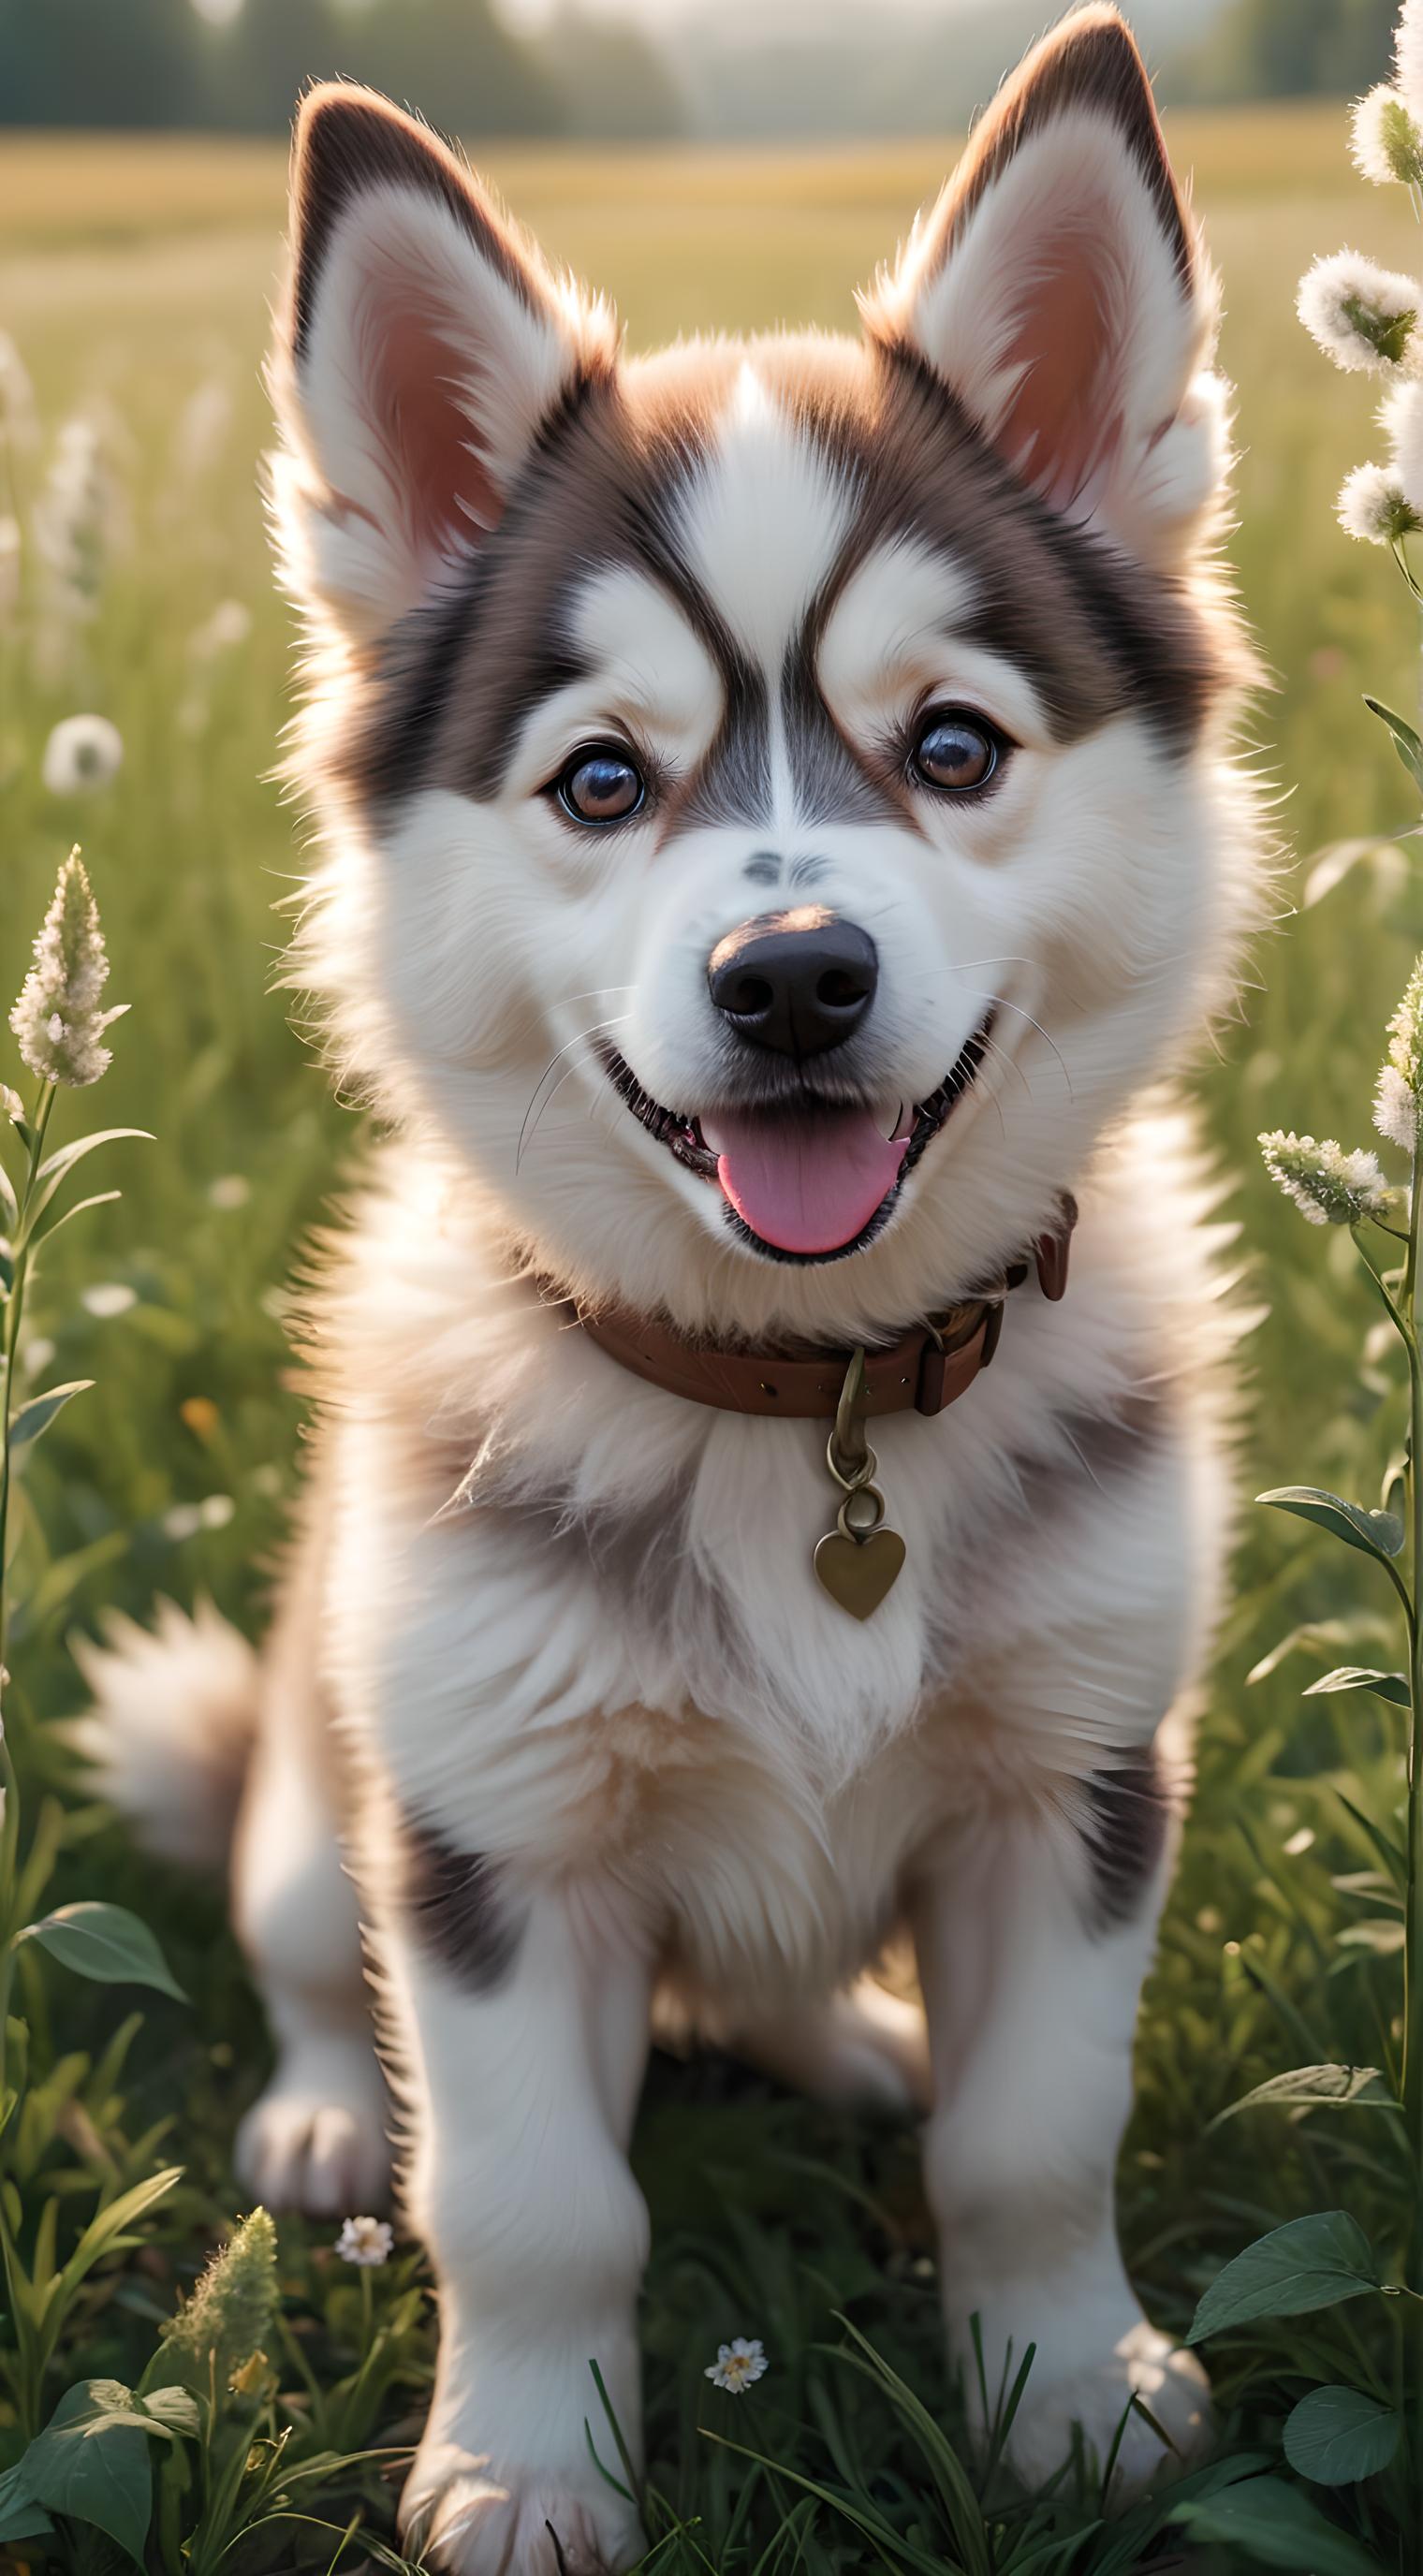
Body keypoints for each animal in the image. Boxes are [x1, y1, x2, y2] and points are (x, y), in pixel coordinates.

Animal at [82, 9, 1257, 2565]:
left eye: (951, 747)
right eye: (603, 781)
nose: (792, 975)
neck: (800, 1400)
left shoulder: (1074, 1777)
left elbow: (1036, 2140)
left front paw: (1063, 2398)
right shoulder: (491, 1833)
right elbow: (535, 2200)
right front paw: (527, 2468)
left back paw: (857, 2040)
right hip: (324, 1771)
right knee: (309, 1957)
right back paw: (320, 2109)